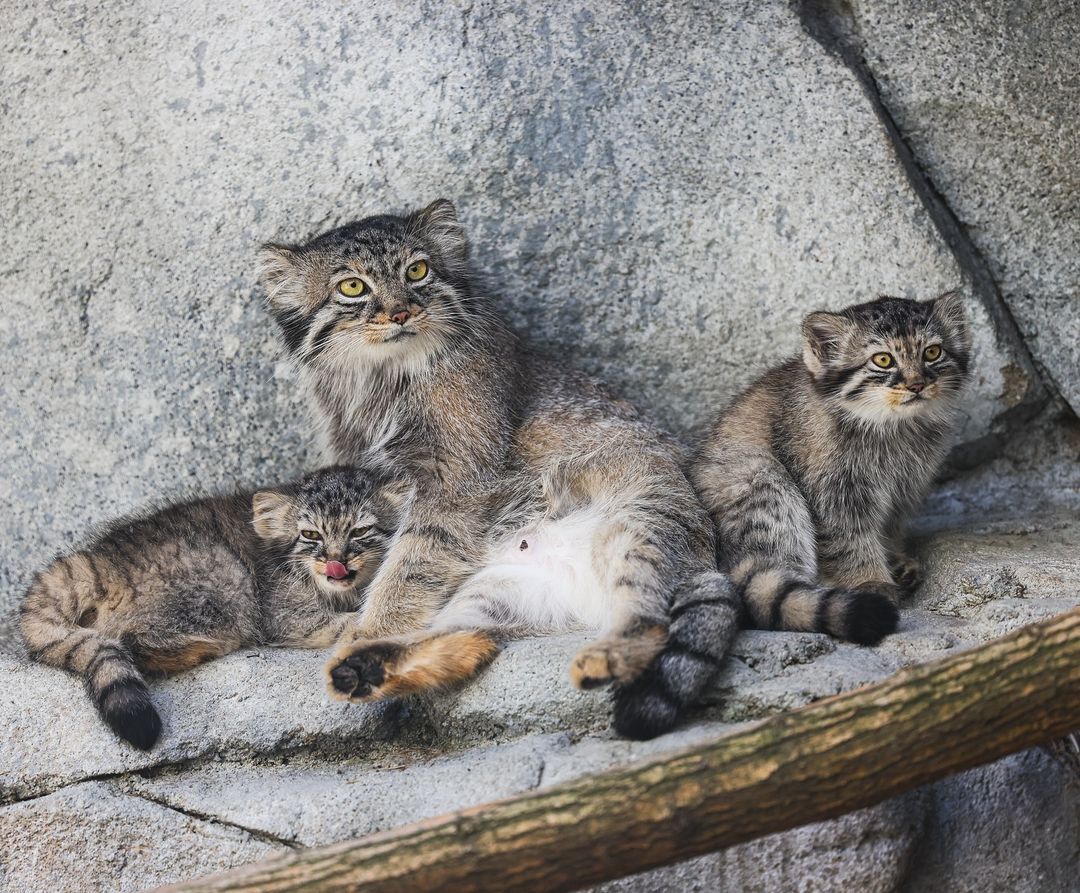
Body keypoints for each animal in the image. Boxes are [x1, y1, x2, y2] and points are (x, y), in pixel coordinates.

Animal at [22, 470, 406, 751]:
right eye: (311, 535)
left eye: (360, 530)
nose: (335, 561)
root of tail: (96, 560)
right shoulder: (286, 614)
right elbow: (348, 624)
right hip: (225, 580)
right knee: (131, 640)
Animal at [257, 203, 738, 738]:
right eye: (352, 286)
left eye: (417, 272)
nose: (401, 312)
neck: (378, 377)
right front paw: (365, 629)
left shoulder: (455, 478)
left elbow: (411, 561)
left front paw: (372, 624)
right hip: (494, 593)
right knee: (471, 641)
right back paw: (367, 669)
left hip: (637, 528)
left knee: (648, 618)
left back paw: (603, 658)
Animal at [691, 293, 980, 643]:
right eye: (883, 360)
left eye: (932, 352)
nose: (917, 385)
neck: (892, 427)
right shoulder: (831, 491)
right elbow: (848, 539)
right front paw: (870, 580)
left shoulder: (904, 489)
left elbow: (888, 528)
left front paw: (892, 558)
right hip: (760, 476)